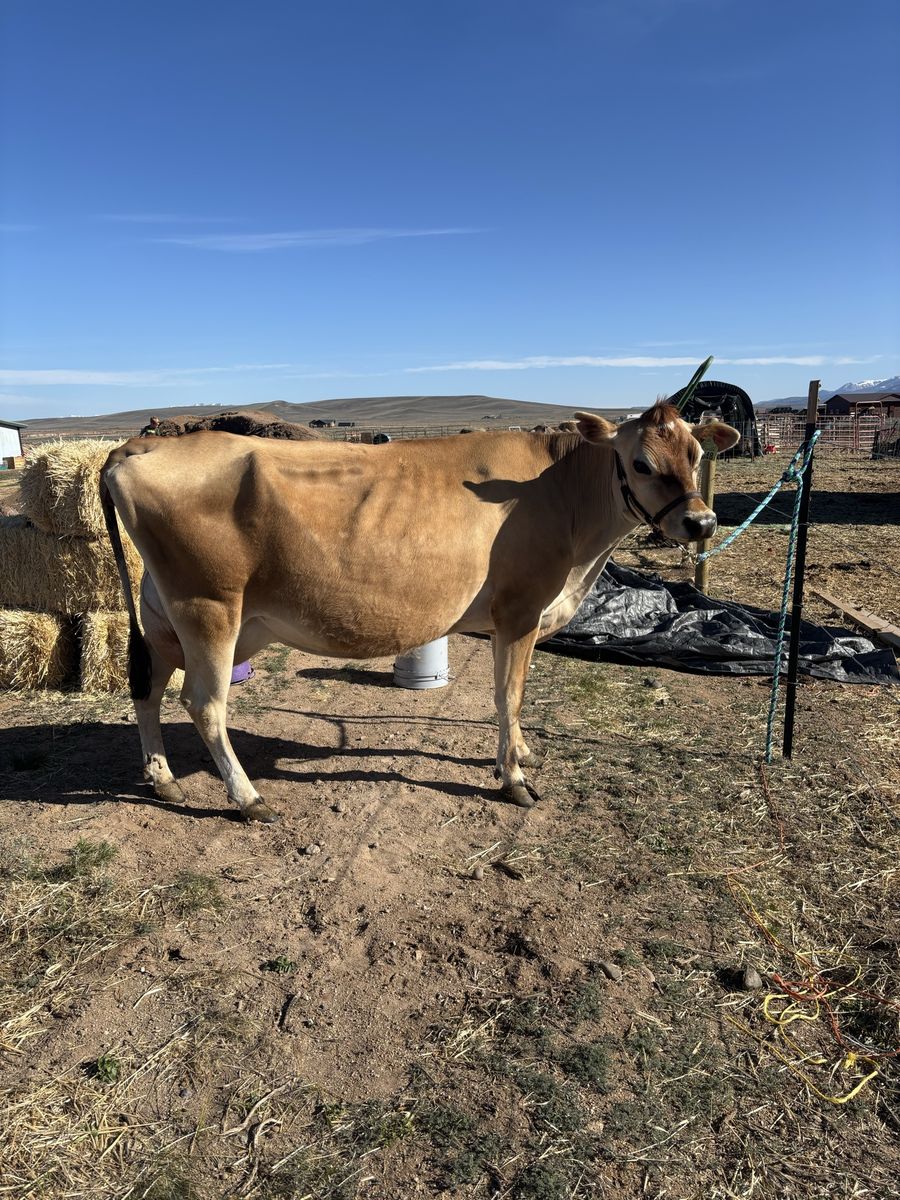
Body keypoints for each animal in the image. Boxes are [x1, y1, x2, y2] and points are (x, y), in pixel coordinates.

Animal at [100, 400, 739, 822]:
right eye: (640, 463)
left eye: (696, 453)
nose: (702, 522)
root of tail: (143, 444)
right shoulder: (520, 610)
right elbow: (508, 695)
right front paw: (514, 778)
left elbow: (514, 700)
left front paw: (521, 752)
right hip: (210, 607)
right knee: (203, 703)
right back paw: (248, 798)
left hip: (174, 614)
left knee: (147, 687)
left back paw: (163, 780)